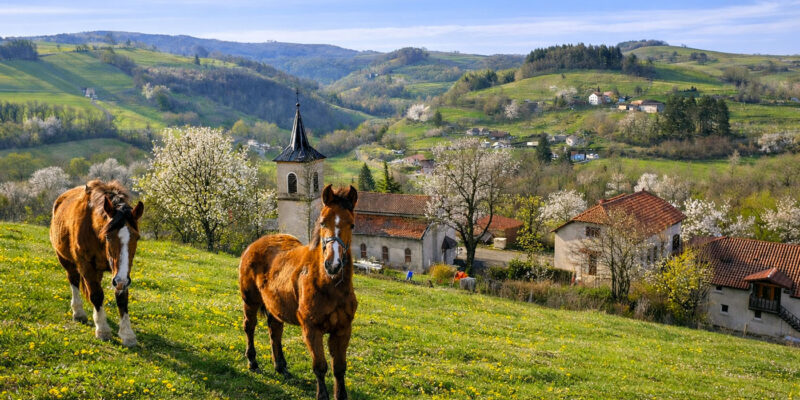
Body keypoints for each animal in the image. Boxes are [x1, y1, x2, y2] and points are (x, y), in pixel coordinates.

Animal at [49, 180, 144, 347]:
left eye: (136, 237)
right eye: (108, 236)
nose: (120, 280)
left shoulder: (122, 273)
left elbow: (121, 298)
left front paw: (127, 334)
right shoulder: (87, 267)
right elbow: (96, 295)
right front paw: (102, 330)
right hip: (66, 260)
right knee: (74, 280)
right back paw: (78, 312)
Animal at [239, 184, 358, 400]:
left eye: (351, 225)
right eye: (322, 222)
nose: (333, 265)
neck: (329, 286)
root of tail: (255, 244)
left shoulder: (343, 329)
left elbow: (339, 368)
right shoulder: (311, 329)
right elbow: (320, 366)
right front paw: (322, 395)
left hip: (275, 307)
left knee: (275, 331)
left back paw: (281, 367)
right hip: (250, 301)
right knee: (249, 327)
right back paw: (252, 362)